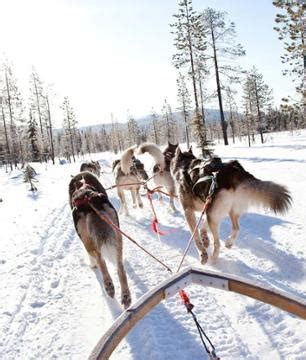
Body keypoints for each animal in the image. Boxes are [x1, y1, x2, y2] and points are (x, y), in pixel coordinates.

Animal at [68, 172, 131, 310]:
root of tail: (91, 201)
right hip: (117, 234)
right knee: (120, 267)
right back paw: (126, 296)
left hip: (88, 240)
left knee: (99, 258)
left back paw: (108, 285)